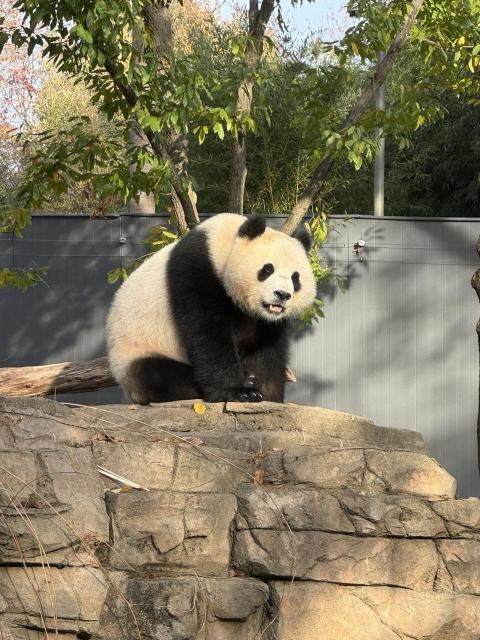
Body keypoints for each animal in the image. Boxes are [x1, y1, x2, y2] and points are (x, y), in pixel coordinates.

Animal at [107, 213, 316, 405]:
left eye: (295, 278)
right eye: (267, 269)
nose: (282, 294)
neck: (221, 247)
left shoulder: (267, 322)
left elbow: (267, 348)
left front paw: (270, 396)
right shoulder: (198, 271)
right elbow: (208, 334)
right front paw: (240, 392)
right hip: (138, 351)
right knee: (158, 375)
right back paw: (241, 380)